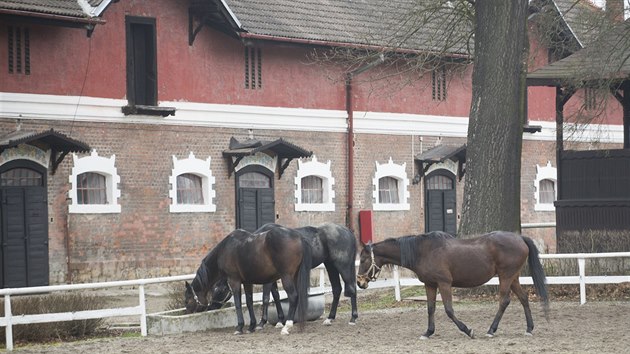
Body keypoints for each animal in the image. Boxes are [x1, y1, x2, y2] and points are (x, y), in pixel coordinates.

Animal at [185, 227, 314, 334]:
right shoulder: (247, 282)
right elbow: (249, 302)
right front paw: (251, 326)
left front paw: (239, 327)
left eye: (188, 299)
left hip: (286, 277)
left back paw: (287, 326)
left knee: (293, 296)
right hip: (295, 276)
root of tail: (298, 237)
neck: (225, 249)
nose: (187, 312)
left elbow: (238, 304)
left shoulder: (234, 281)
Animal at [209, 223, 360, 328]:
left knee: (351, 288)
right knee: (337, 289)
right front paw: (281, 320)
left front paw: (262, 323)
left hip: (342, 266)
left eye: (218, 290)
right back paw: (330, 318)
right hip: (331, 266)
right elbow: (276, 296)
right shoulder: (273, 277)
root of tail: (347, 231)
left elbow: (265, 298)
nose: (209, 307)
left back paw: (353, 318)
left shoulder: (268, 280)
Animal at [358, 231, 552, 338]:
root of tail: (520, 238)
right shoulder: (430, 284)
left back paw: (491, 330)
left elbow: (449, 310)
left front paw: (467, 330)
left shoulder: (444, 284)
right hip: (513, 278)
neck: (423, 251)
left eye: (363, 259)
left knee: (504, 302)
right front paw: (428, 332)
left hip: (506, 277)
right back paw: (529, 328)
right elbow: (430, 308)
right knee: (524, 298)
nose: (360, 282)